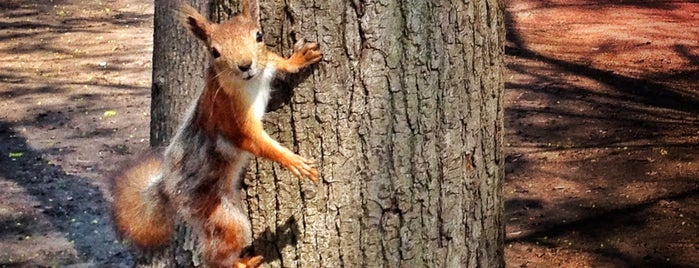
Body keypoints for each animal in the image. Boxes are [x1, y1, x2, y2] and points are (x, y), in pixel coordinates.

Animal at [111, 1, 322, 266]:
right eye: (214, 52)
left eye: (259, 36)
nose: (245, 65)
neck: (251, 83)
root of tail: (168, 189)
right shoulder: (231, 116)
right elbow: (255, 142)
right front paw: (294, 162)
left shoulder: (266, 65)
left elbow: (276, 60)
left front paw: (298, 58)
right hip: (221, 215)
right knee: (217, 253)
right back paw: (243, 262)